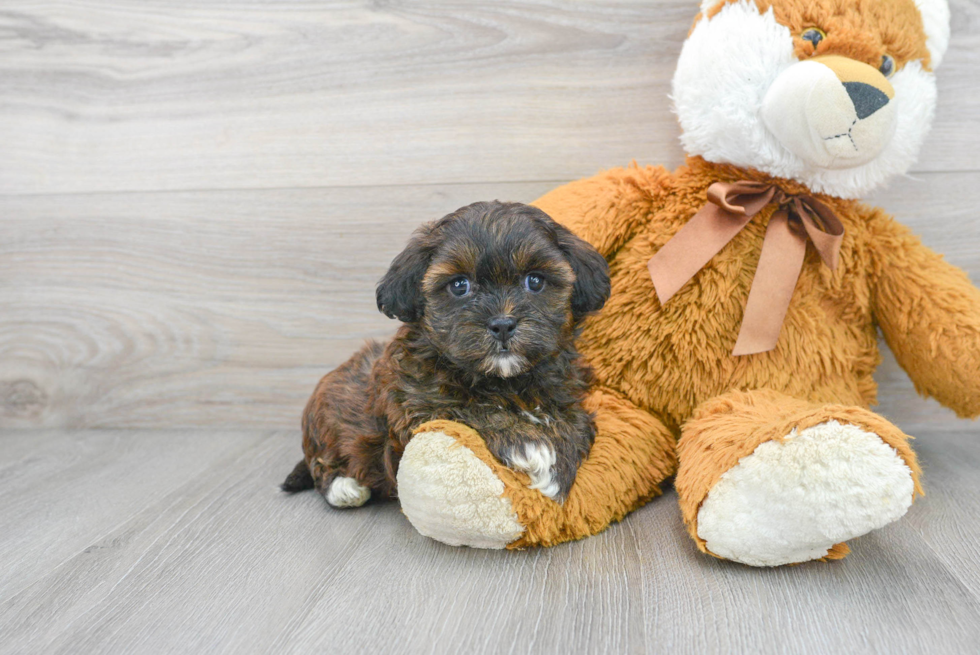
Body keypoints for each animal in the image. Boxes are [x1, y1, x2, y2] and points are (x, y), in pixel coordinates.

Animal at [280, 200, 608, 508]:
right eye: (459, 285)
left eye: (535, 281)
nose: (502, 324)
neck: (505, 380)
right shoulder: (417, 407)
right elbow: (470, 409)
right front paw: (528, 443)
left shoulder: (567, 394)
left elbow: (576, 421)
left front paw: (559, 464)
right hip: (327, 425)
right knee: (321, 465)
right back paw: (345, 488)